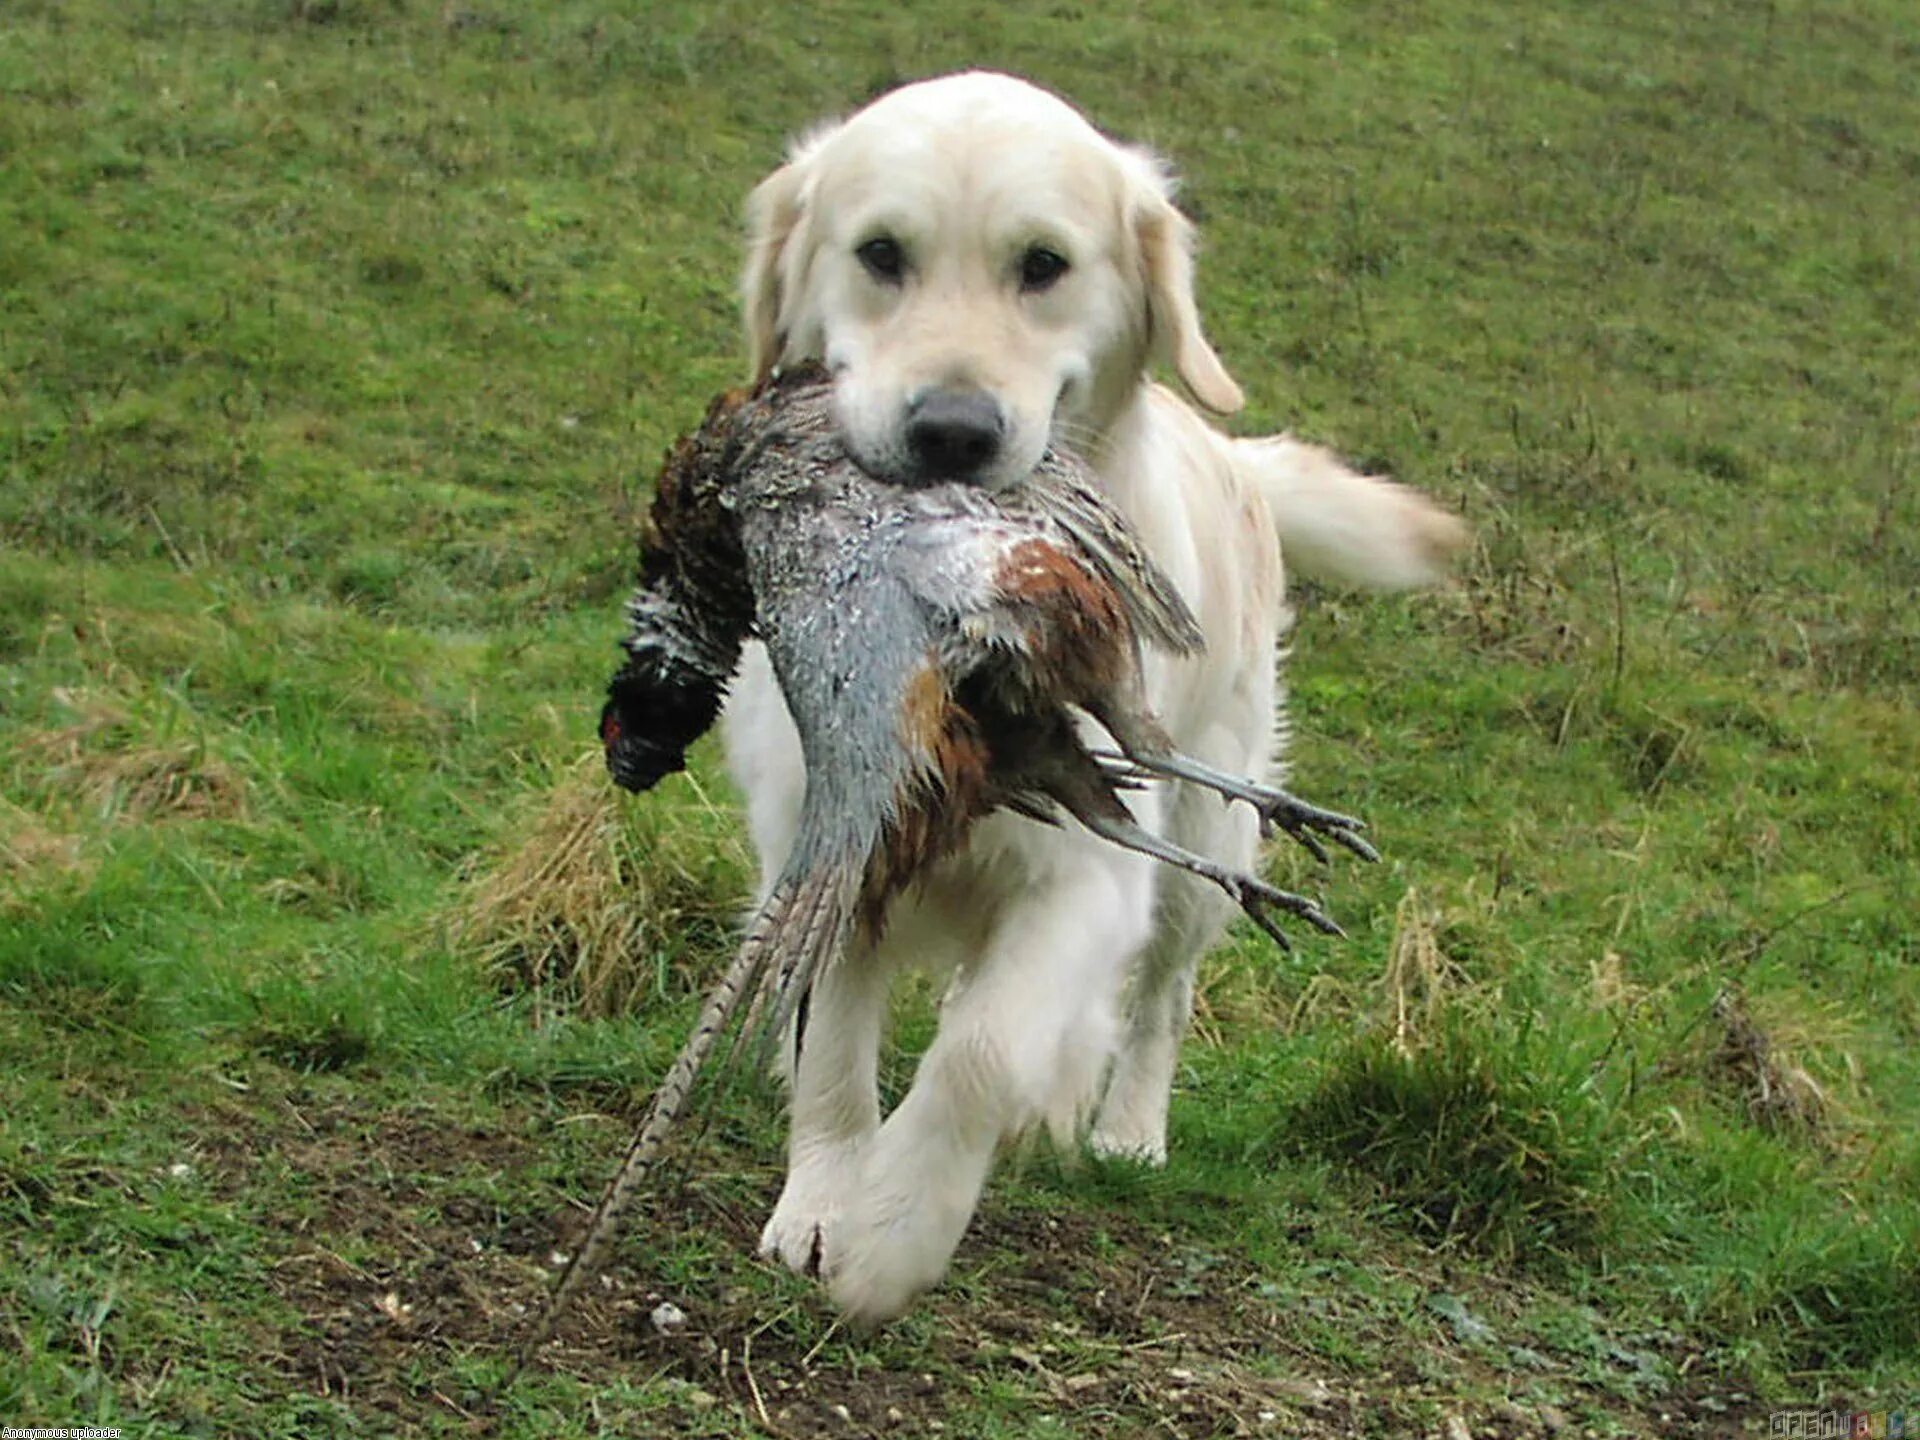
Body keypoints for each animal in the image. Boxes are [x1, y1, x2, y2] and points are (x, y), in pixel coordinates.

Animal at [718, 70, 1451, 1328]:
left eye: (1044, 265)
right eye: (880, 254)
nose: (952, 432)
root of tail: (1238, 462)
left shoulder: (1089, 869)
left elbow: (979, 1057)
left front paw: (893, 1237)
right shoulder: (829, 846)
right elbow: (830, 1045)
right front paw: (822, 1203)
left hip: (1212, 825)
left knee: (1159, 993)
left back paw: (1122, 1129)